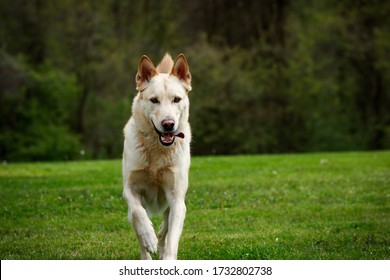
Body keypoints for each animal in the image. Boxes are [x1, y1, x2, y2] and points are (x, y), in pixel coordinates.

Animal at [122, 53, 193, 260]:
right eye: (154, 100)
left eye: (176, 99)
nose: (168, 124)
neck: (156, 149)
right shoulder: (129, 189)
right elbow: (139, 214)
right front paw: (149, 238)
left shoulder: (177, 200)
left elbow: (172, 239)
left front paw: (167, 256)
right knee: (139, 226)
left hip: (173, 206)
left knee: (166, 229)